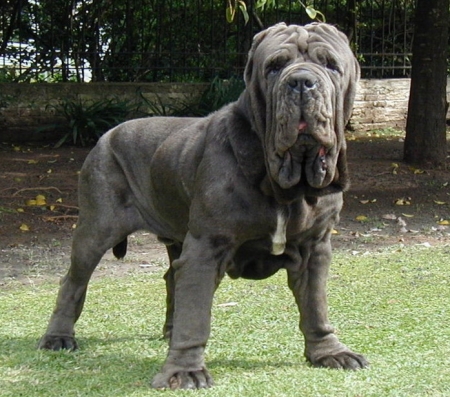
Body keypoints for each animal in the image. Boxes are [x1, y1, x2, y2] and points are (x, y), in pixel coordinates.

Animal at [38, 21, 368, 386]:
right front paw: (184, 370)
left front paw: (329, 352)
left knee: (171, 278)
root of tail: (105, 135)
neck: (283, 182)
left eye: (331, 65)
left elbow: (316, 305)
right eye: (274, 67)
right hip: (96, 229)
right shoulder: (207, 247)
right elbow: (195, 315)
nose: (301, 82)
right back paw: (58, 337)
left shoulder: (315, 248)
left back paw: (169, 332)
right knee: (73, 280)